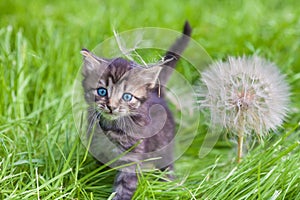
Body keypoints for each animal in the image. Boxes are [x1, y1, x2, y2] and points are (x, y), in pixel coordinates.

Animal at [81, 21, 191, 199]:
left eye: (127, 96)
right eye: (102, 92)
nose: (111, 106)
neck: (111, 127)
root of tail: (156, 92)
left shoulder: (131, 157)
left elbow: (124, 186)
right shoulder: (97, 149)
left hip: (164, 146)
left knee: (167, 166)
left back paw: (168, 185)